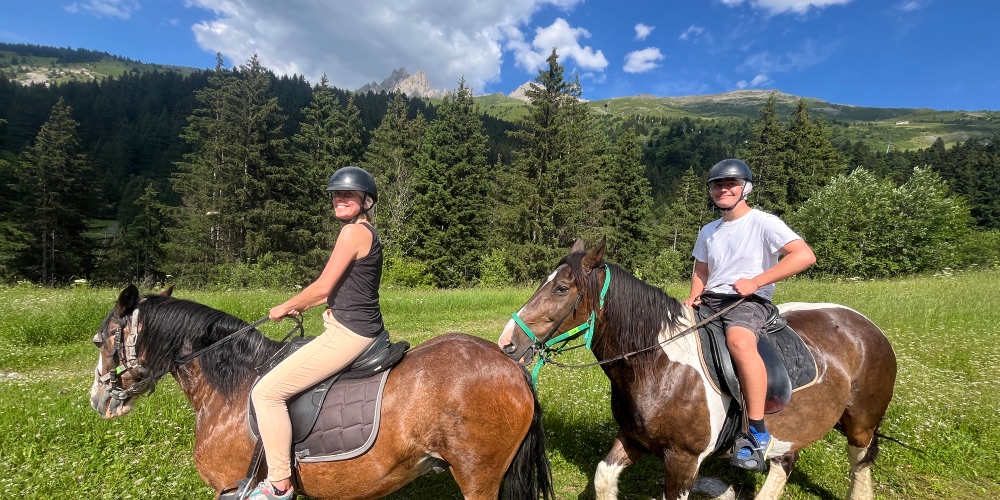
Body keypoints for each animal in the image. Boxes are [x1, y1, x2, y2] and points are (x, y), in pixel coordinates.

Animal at [89, 286, 552, 500]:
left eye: (99, 341)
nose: (98, 400)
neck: (232, 386)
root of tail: (511, 366)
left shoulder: (228, 486)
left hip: (478, 476)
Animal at [496, 240, 896, 498]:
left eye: (561, 288)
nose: (507, 344)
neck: (657, 367)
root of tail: (867, 326)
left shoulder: (683, 461)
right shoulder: (633, 439)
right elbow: (603, 478)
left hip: (861, 424)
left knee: (859, 466)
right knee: (786, 461)